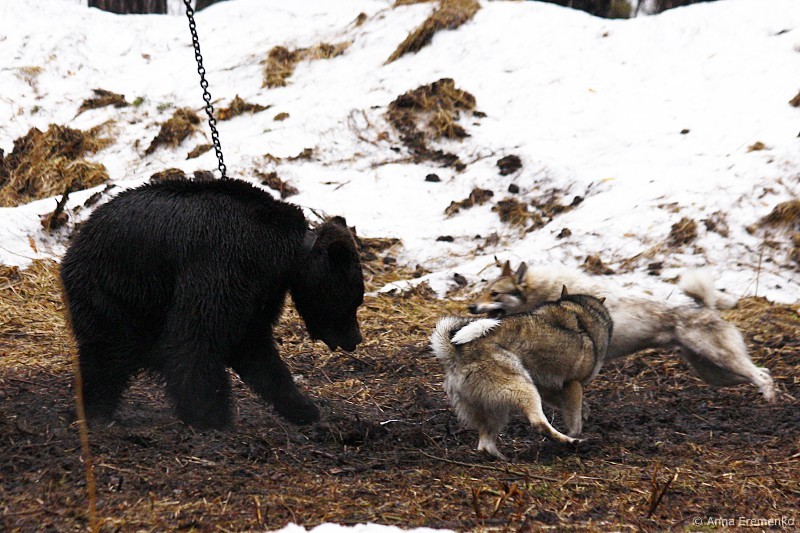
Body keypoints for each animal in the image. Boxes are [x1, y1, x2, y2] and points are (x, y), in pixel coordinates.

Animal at [60, 178, 364, 430]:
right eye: (355, 299)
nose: (355, 339)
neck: (281, 253)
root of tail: (78, 241)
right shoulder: (224, 263)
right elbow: (196, 339)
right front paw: (210, 417)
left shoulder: (262, 288)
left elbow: (254, 346)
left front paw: (304, 408)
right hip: (114, 287)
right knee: (109, 349)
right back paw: (95, 410)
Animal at [431, 287, 613, 460]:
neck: (580, 311)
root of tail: (455, 352)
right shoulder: (572, 384)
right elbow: (575, 421)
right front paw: (576, 433)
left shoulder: (549, 389)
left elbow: (580, 407)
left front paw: (585, 414)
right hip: (525, 390)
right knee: (539, 424)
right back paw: (571, 442)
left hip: (496, 409)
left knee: (484, 445)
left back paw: (503, 459)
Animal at [468, 261, 775, 403]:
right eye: (484, 290)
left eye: (495, 293)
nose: (472, 306)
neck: (547, 292)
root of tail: (705, 307)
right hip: (714, 373)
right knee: (761, 373)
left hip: (722, 359)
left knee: (762, 375)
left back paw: (770, 402)